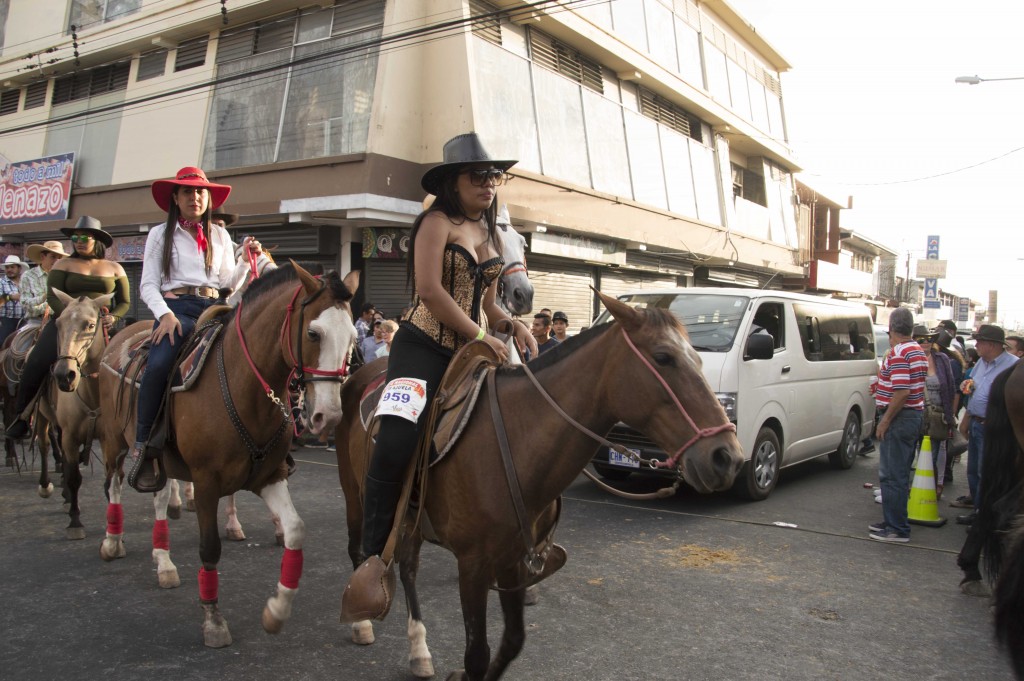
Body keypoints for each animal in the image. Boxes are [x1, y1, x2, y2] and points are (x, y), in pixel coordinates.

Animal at [96, 262, 360, 647]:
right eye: (313, 333)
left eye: (353, 337)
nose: (328, 416)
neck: (244, 386)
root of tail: (122, 335)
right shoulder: (206, 483)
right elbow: (209, 548)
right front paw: (213, 620)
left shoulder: (269, 477)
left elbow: (295, 531)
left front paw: (277, 610)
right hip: (115, 441)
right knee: (114, 485)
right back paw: (112, 541)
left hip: (161, 460)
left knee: (159, 497)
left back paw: (164, 561)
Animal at [335, 288, 745, 675]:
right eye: (663, 357)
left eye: (697, 358)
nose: (727, 456)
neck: (515, 441)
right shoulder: (474, 566)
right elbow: (477, 656)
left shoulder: (512, 561)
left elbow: (512, 642)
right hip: (356, 495)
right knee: (361, 549)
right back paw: (362, 620)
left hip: (413, 517)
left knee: (408, 566)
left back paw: (419, 650)